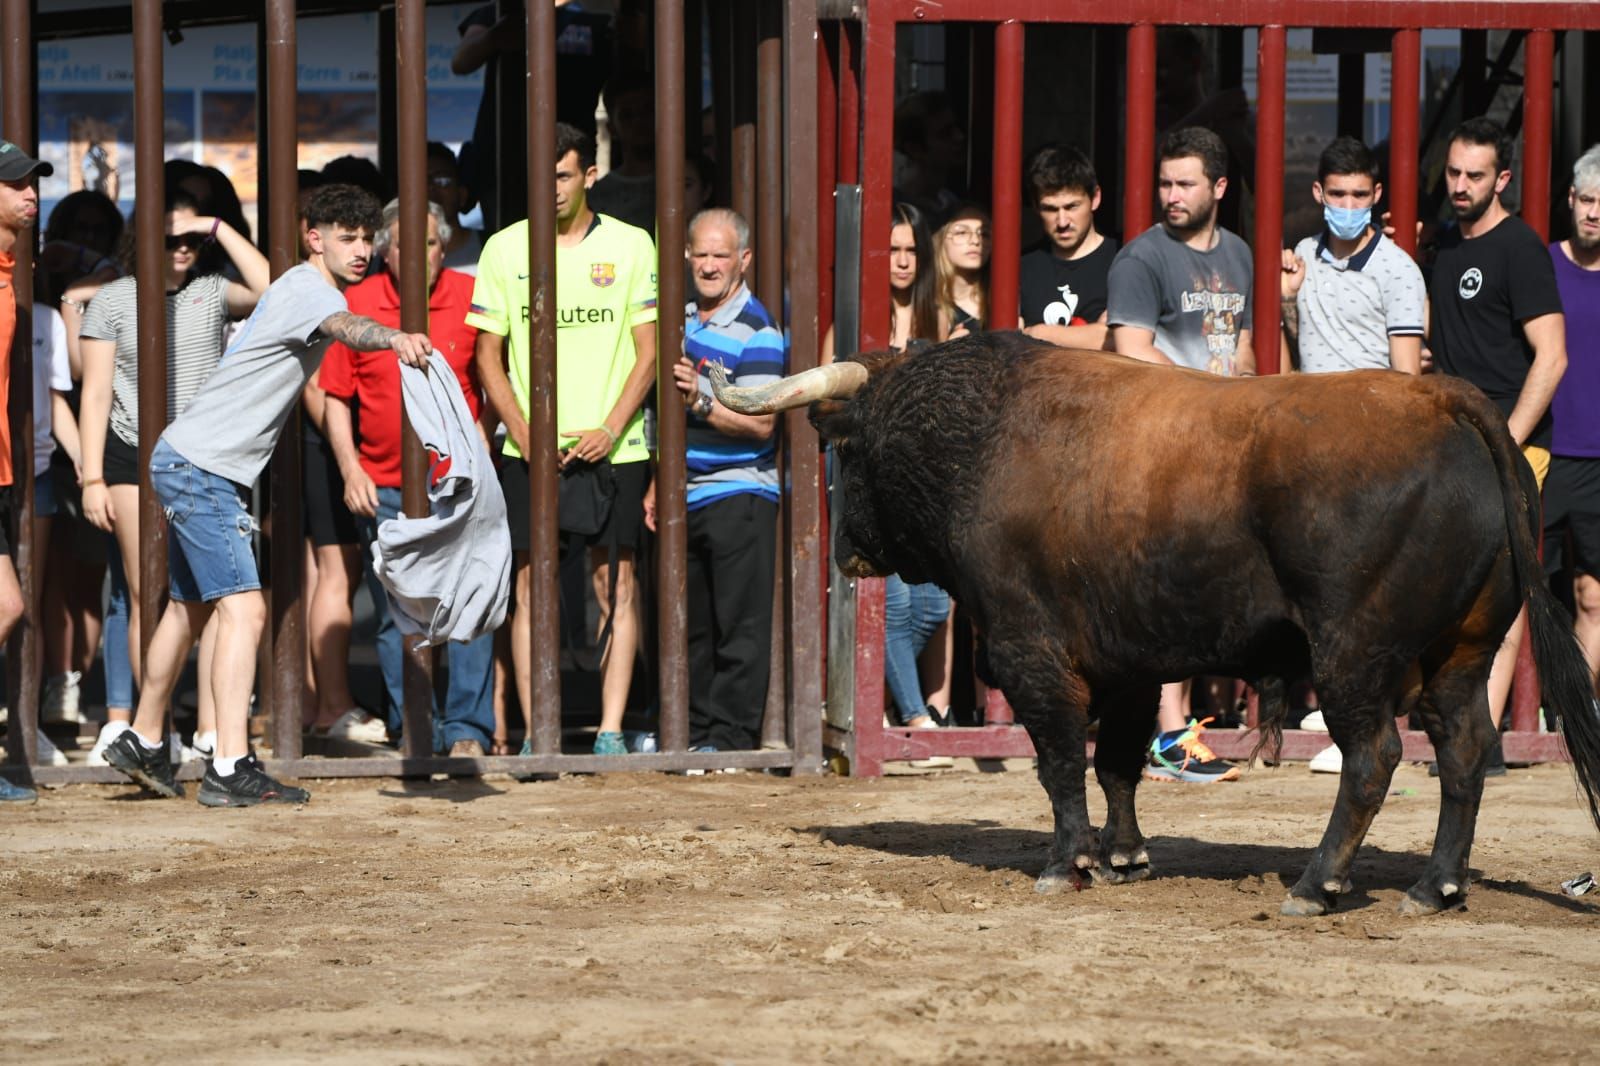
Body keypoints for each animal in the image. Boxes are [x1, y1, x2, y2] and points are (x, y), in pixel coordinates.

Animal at [720, 332, 1600, 915]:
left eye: (850, 453)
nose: (845, 550)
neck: (979, 438)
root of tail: (1437, 397)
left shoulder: (1031, 652)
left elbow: (1060, 763)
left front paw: (1067, 862)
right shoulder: (1130, 663)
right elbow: (1117, 762)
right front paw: (1126, 855)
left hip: (1354, 652)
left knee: (1373, 758)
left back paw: (1316, 884)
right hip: (1462, 654)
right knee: (1464, 751)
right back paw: (1433, 885)